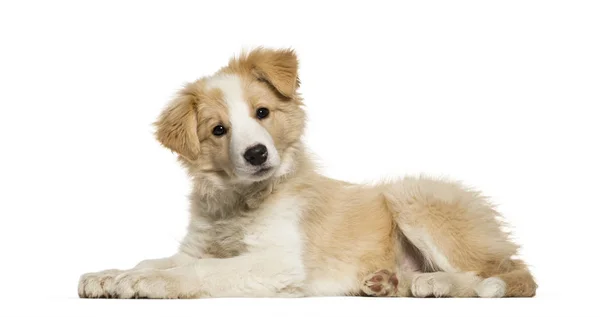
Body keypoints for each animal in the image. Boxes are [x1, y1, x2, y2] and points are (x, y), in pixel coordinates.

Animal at [77, 47, 536, 298]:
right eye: (218, 130)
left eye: (262, 112)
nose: (257, 153)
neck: (239, 201)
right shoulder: (195, 247)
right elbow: (151, 259)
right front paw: (111, 275)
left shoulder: (279, 262)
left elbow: (201, 271)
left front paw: (152, 283)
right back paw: (388, 282)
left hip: (415, 198)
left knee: (501, 272)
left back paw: (438, 284)